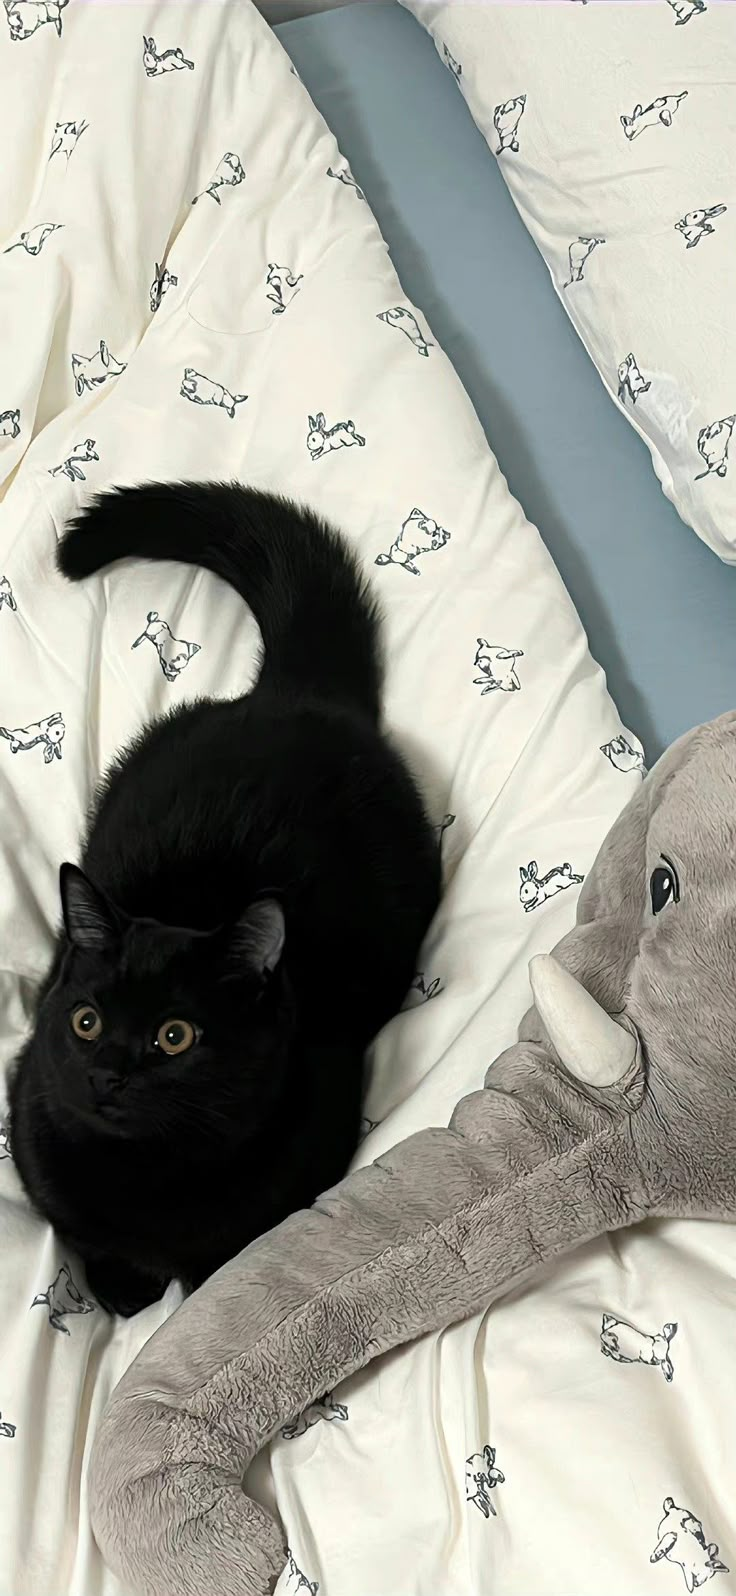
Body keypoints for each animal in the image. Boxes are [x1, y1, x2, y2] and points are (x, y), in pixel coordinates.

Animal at [8, 481, 437, 1308]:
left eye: (175, 1036)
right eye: (85, 1021)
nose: (107, 1072)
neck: (144, 1184)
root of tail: (296, 692)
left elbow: (224, 1265)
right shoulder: (31, 1106)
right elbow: (84, 1233)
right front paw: (121, 1287)